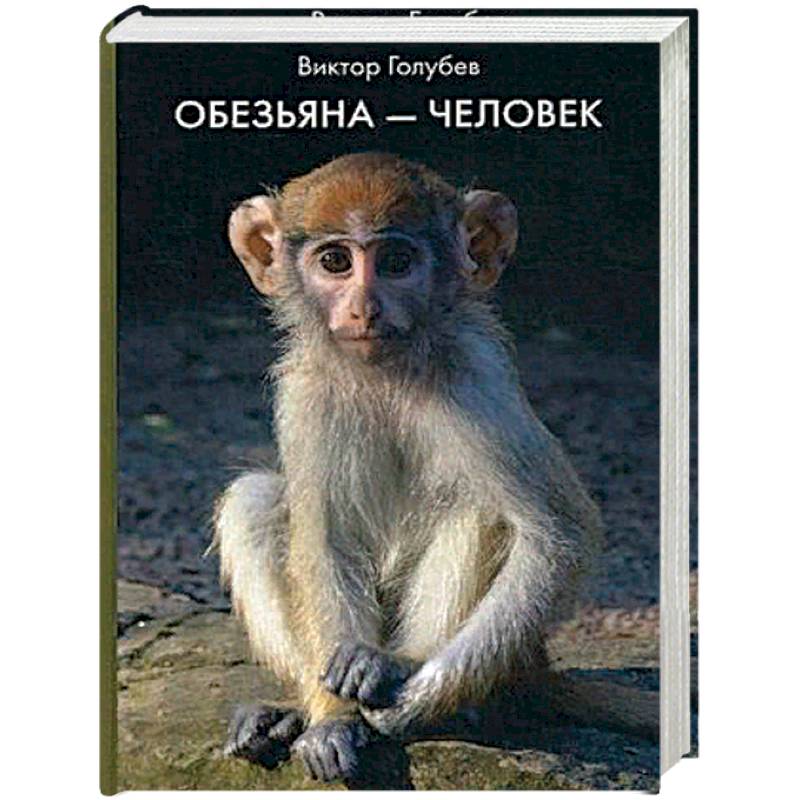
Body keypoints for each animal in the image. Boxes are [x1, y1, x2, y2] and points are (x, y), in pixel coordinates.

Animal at [213, 152, 650, 785]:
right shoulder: (305, 391)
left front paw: (412, 702)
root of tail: (535, 668)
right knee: (252, 498)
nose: (364, 307)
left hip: (509, 657)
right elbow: (324, 540)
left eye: (397, 262)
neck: (389, 369)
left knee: (480, 508)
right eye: (335, 261)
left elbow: (559, 536)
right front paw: (330, 719)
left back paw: (406, 671)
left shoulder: (476, 377)